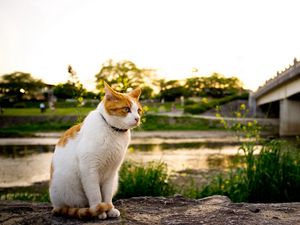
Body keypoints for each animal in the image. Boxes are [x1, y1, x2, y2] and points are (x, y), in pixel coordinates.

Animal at [49, 81, 142, 219]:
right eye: (126, 109)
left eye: (139, 111)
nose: (137, 118)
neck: (113, 132)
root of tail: (55, 205)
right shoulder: (89, 169)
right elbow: (95, 195)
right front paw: (99, 211)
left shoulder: (111, 172)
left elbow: (107, 194)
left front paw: (109, 209)